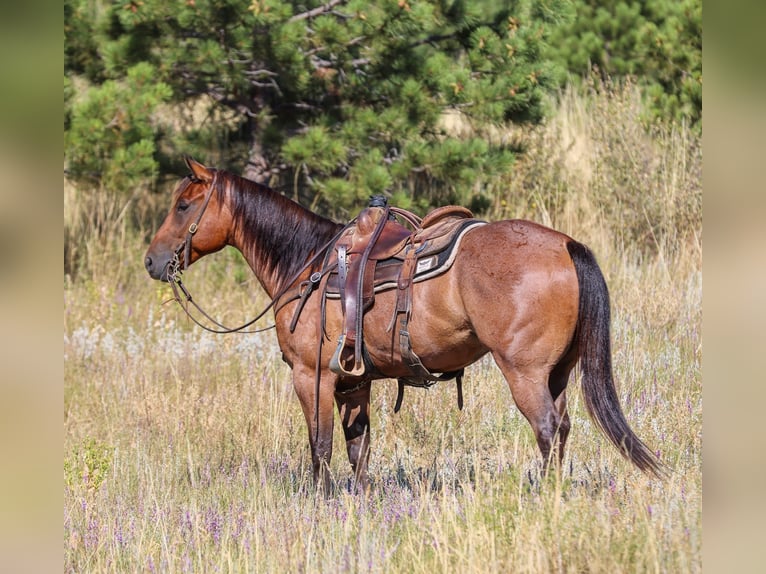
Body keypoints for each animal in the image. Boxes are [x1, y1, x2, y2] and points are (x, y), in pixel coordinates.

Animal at [144, 157, 664, 492]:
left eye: (184, 206)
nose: (152, 261)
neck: (305, 264)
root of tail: (565, 245)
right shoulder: (355, 383)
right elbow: (358, 448)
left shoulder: (312, 376)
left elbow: (319, 447)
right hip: (557, 373)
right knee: (564, 430)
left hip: (525, 373)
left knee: (548, 431)